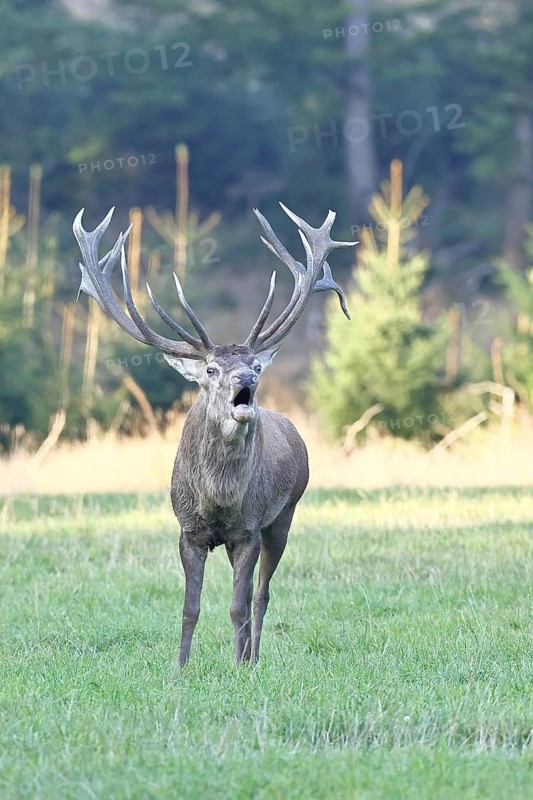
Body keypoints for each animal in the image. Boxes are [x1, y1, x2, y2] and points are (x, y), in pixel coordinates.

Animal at [73, 202, 355, 664]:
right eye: (210, 369)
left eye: (255, 365)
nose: (247, 379)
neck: (218, 499)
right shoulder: (188, 531)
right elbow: (190, 607)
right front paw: (180, 666)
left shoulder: (249, 528)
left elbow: (238, 604)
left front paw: (238, 665)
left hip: (285, 514)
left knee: (261, 593)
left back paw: (253, 657)